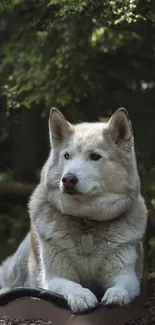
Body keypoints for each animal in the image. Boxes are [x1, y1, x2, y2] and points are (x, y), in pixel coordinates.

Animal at [0, 107, 148, 312]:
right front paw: (81, 296)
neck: (86, 220)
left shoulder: (127, 274)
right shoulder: (54, 277)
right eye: (67, 156)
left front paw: (116, 295)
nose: (68, 179)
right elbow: (71, 285)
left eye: (95, 156)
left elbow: (121, 286)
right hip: (19, 265)